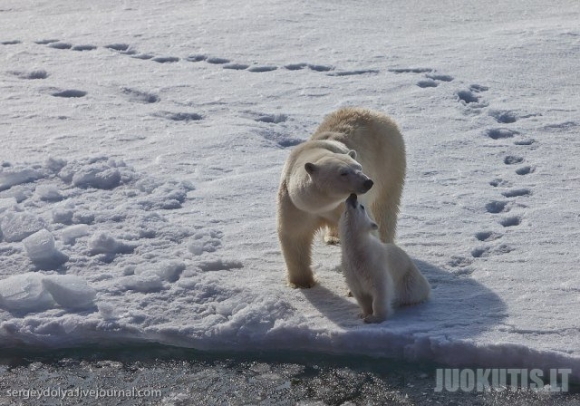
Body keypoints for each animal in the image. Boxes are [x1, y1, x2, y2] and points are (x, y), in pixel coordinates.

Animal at [278, 106, 406, 288]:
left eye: (359, 167)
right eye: (343, 173)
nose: (367, 182)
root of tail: (372, 112)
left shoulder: (346, 204)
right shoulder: (295, 203)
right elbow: (295, 235)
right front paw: (302, 283)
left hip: (389, 159)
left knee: (385, 206)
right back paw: (333, 237)